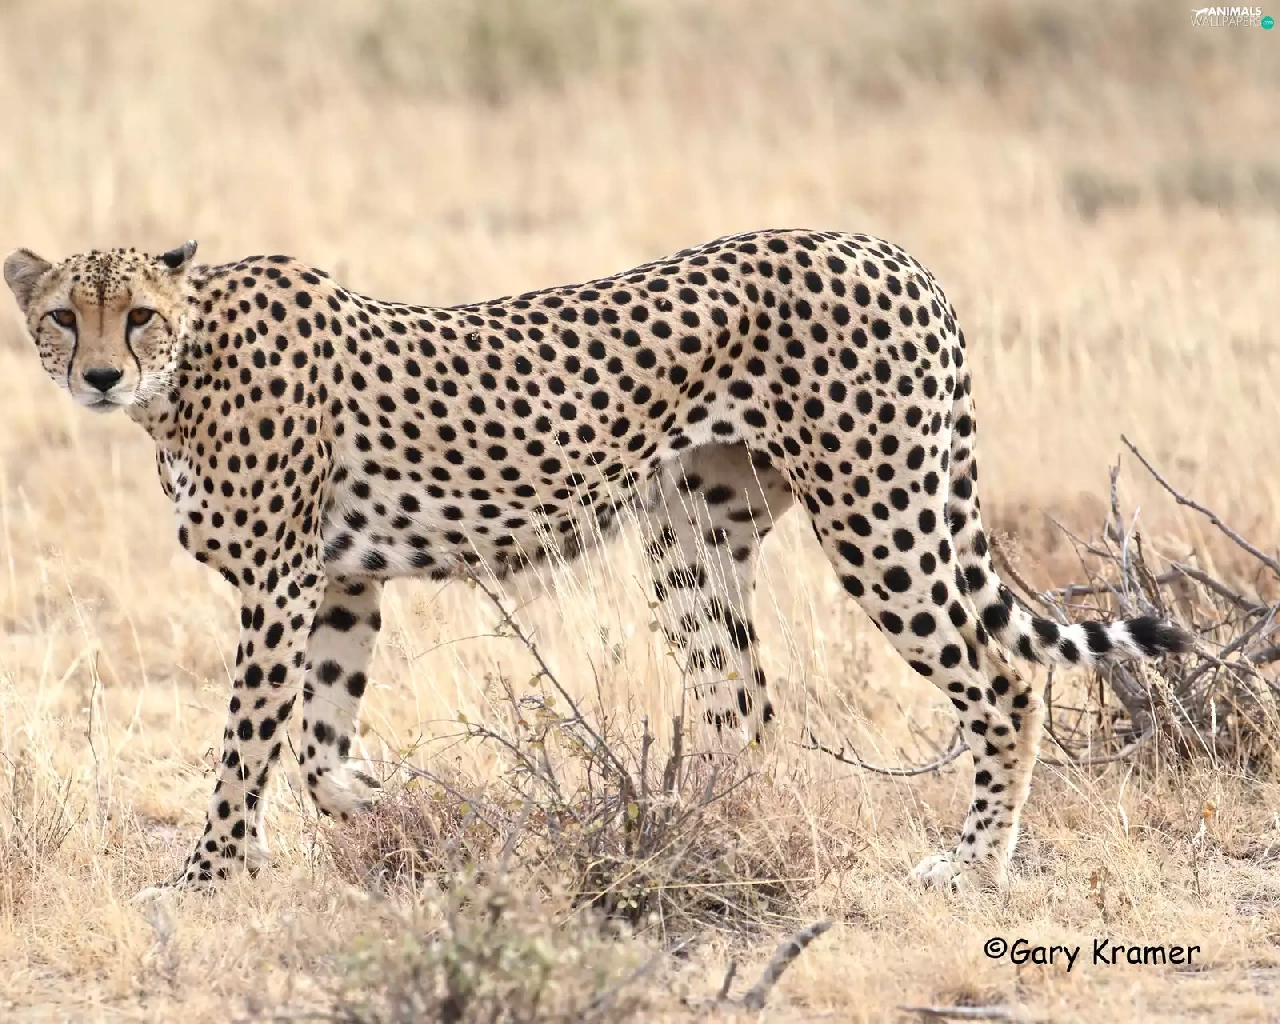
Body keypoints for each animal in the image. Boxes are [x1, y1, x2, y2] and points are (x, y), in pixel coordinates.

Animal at [4, 229, 1189, 897]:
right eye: (62, 315)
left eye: (136, 316)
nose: (100, 374)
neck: (184, 369)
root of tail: (886, 250)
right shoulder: (341, 580)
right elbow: (315, 744)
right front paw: (376, 808)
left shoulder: (282, 581)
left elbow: (248, 743)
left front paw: (203, 875)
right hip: (693, 537)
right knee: (744, 707)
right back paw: (696, 833)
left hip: (879, 513)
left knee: (1003, 677)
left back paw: (972, 861)